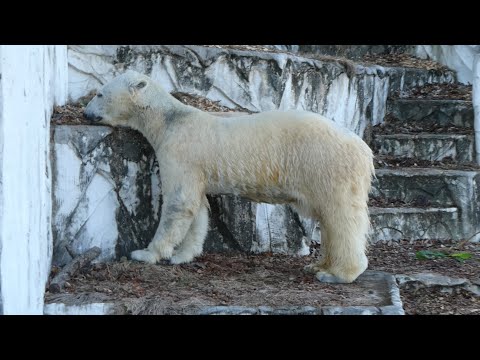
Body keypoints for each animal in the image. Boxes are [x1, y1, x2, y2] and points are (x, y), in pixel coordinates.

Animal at [83, 70, 376, 284]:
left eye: (100, 93)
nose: (85, 113)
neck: (170, 120)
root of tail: (364, 149)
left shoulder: (179, 153)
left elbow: (178, 204)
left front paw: (145, 253)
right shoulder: (196, 168)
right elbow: (198, 208)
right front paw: (183, 256)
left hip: (326, 166)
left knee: (340, 216)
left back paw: (337, 274)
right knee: (329, 219)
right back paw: (318, 265)